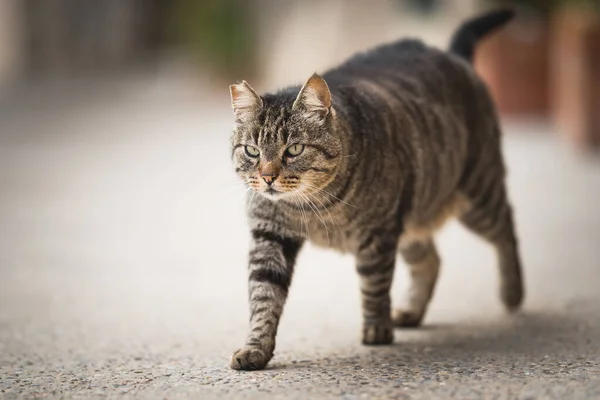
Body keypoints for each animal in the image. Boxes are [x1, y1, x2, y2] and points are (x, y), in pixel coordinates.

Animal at [227, 10, 524, 372]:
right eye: (252, 151)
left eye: (294, 149)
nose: (267, 177)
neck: (312, 207)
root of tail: (451, 54)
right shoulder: (270, 235)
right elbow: (263, 296)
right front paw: (255, 348)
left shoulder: (377, 234)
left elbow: (374, 282)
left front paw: (376, 328)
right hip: (411, 218)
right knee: (431, 260)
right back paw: (411, 311)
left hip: (477, 195)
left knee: (506, 228)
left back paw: (512, 292)